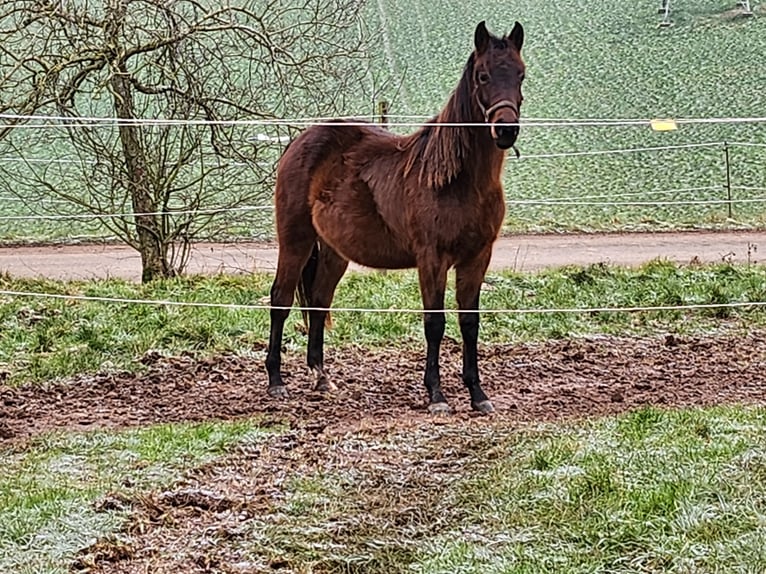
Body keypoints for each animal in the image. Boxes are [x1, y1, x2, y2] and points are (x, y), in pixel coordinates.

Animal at [268, 20, 524, 416]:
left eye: (521, 75)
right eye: (483, 75)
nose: (506, 130)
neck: (456, 180)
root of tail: (301, 139)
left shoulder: (478, 258)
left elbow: (469, 323)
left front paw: (478, 395)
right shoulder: (432, 259)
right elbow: (435, 323)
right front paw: (436, 395)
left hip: (333, 251)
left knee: (319, 299)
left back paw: (322, 378)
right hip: (295, 240)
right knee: (280, 298)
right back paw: (276, 381)